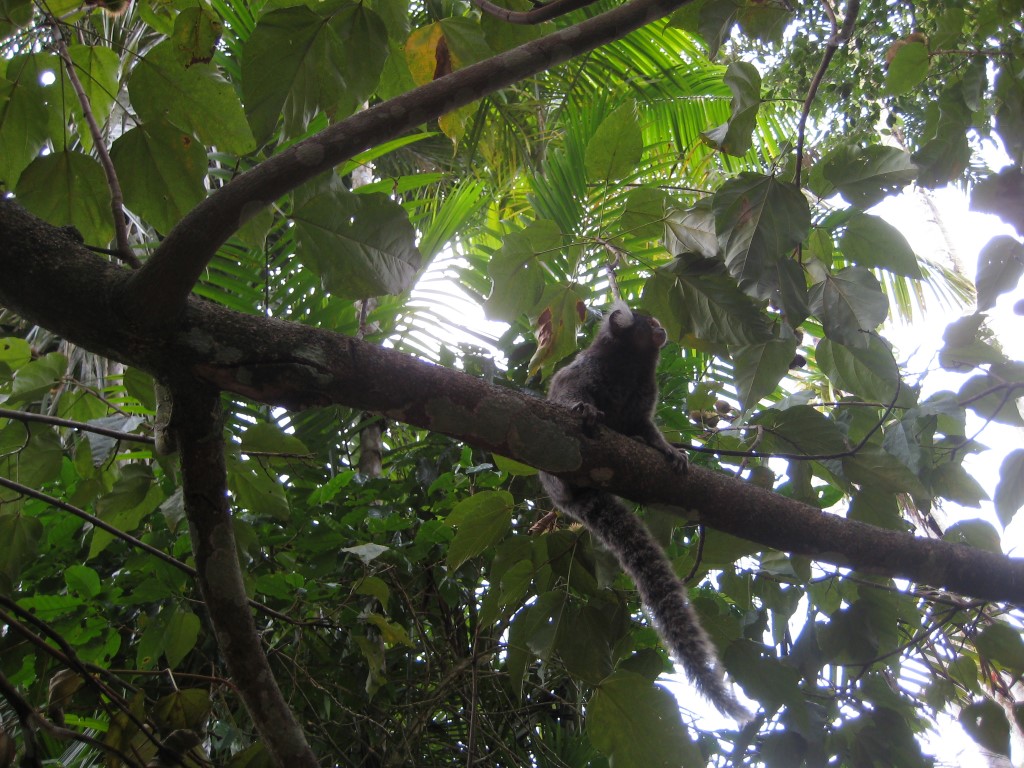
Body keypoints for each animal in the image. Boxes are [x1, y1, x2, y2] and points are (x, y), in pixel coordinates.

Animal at [538, 301, 751, 722]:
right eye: (648, 322)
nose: (662, 328)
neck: (629, 364)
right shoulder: (587, 368)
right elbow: (565, 390)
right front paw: (582, 408)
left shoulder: (643, 393)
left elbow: (643, 426)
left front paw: (667, 449)